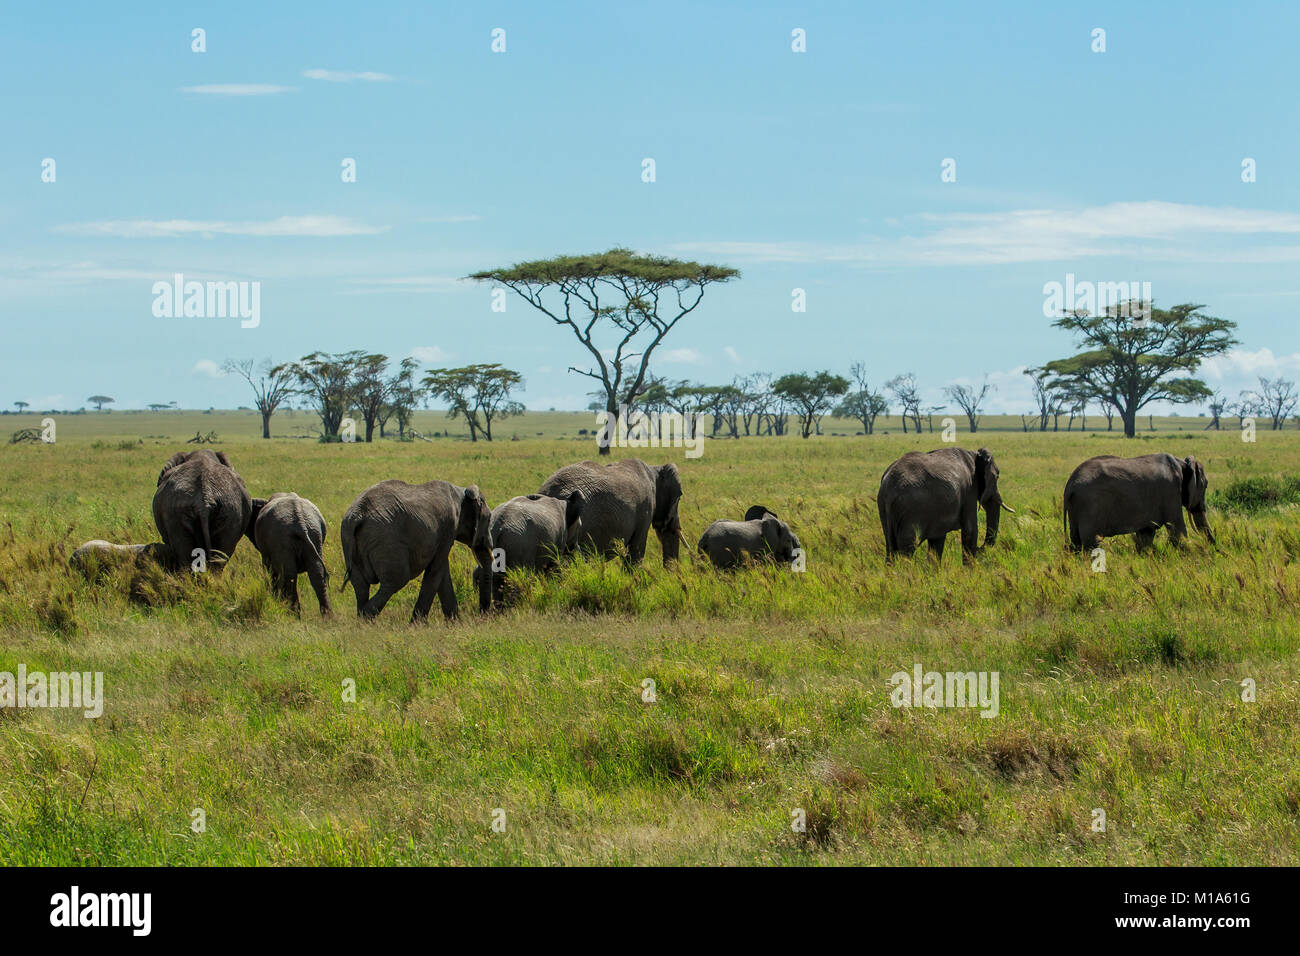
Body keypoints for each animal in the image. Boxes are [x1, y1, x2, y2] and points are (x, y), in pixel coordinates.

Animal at [340, 478, 491, 621]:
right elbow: (436, 569)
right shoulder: (448, 527)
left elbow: (442, 571)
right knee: (396, 580)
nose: (482, 616)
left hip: (350, 541)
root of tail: (357, 515)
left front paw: (454, 623)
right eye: (489, 520)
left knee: (360, 585)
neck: (462, 493)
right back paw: (366, 619)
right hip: (386, 540)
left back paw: (363, 621)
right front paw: (418, 624)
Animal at [873, 447, 1013, 564]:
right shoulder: (969, 491)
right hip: (909, 511)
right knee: (907, 550)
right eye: (997, 476)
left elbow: (937, 541)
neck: (975, 454)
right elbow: (970, 530)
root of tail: (889, 487)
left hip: (883, 508)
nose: (979, 548)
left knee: (890, 548)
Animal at [1060, 455, 1211, 554]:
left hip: (1076, 507)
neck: (1182, 464)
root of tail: (1070, 484)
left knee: (1077, 542)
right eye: (1206, 485)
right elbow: (1178, 532)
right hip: (1090, 506)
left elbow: (1146, 535)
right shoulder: (1171, 493)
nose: (1212, 549)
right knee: (1091, 544)